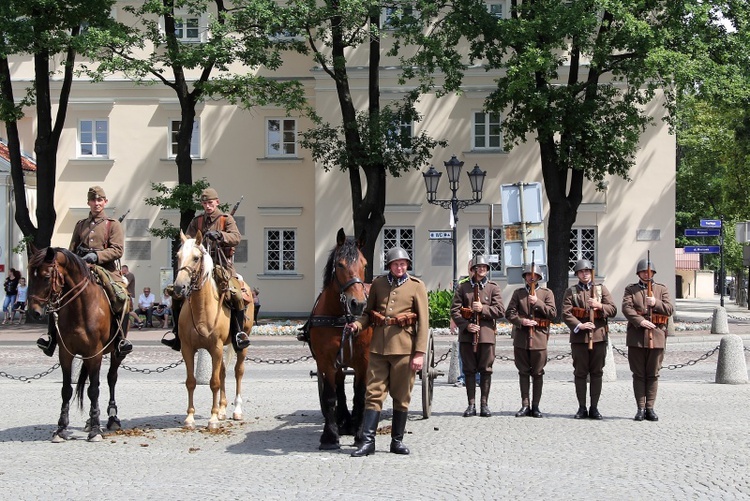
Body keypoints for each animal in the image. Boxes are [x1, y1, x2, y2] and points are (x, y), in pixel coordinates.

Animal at [26, 247, 128, 442]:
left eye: (46, 277)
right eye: (29, 276)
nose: (34, 312)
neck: (80, 308)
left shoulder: (94, 353)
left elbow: (94, 390)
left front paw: (95, 430)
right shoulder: (66, 354)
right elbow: (67, 389)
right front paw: (61, 429)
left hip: (115, 353)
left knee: (111, 378)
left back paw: (112, 418)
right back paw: (90, 420)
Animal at [170, 230, 253, 430]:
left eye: (196, 257)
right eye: (178, 256)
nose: (179, 287)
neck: (202, 308)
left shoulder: (215, 348)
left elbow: (214, 382)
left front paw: (213, 418)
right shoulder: (187, 349)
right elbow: (191, 382)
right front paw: (190, 418)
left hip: (242, 344)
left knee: (238, 371)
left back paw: (236, 410)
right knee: (222, 371)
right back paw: (223, 408)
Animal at [306, 227, 374, 450]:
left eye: (364, 264)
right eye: (340, 264)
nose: (358, 304)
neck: (339, 317)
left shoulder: (364, 361)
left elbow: (360, 395)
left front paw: (360, 433)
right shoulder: (325, 361)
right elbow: (330, 395)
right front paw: (330, 435)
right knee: (340, 386)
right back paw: (344, 421)